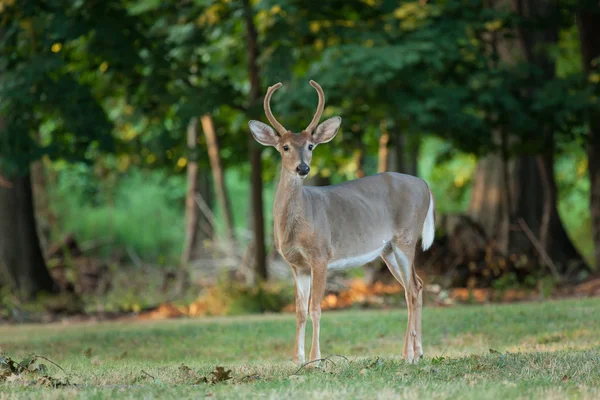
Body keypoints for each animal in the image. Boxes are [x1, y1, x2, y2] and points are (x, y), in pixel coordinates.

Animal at [246, 80, 434, 366]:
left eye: (311, 146)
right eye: (285, 147)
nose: (303, 168)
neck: (297, 227)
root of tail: (426, 185)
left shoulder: (320, 255)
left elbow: (316, 308)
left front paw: (316, 361)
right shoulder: (296, 265)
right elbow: (299, 311)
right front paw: (297, 360)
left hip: (407, 237)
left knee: (411, 291)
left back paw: (409, 355)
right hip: (388, 249)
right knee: (417, 285)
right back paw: (417, 351)